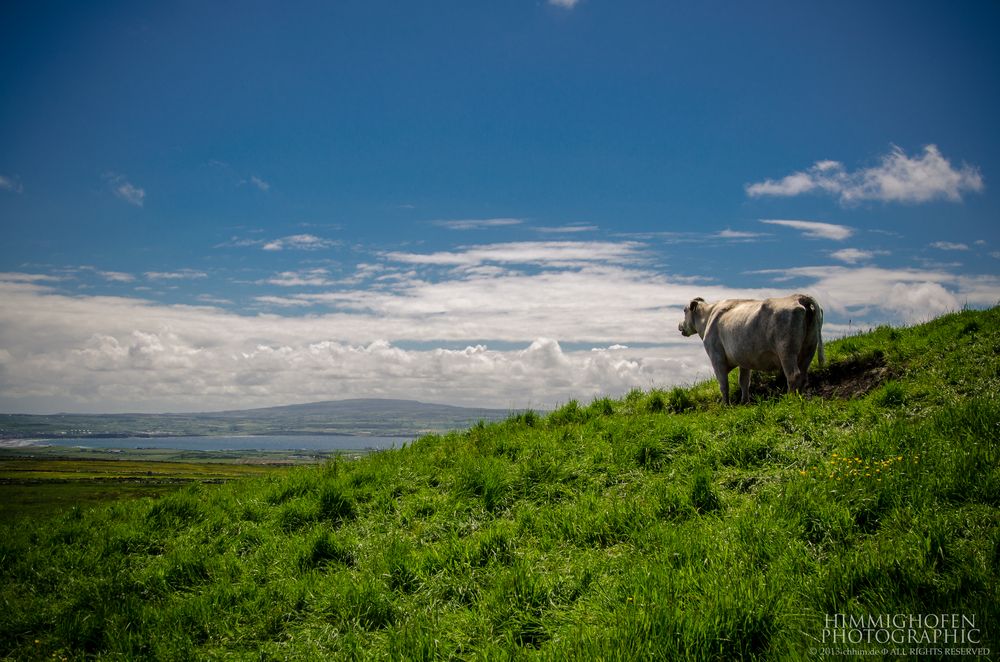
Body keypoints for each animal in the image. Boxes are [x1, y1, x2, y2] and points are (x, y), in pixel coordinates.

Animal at [680, 294, 828, 404]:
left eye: (684, 310)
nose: (680, 325)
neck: (708, 318)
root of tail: (798, 297)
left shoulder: (716, 357)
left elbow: (723, 384)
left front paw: (725, 405)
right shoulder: (743, 358)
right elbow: (744, 382)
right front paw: (744, 403)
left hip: (786, 350)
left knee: (793, 375)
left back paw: (790, 399)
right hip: (809, 348)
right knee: (803, 375)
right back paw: (799, 397)